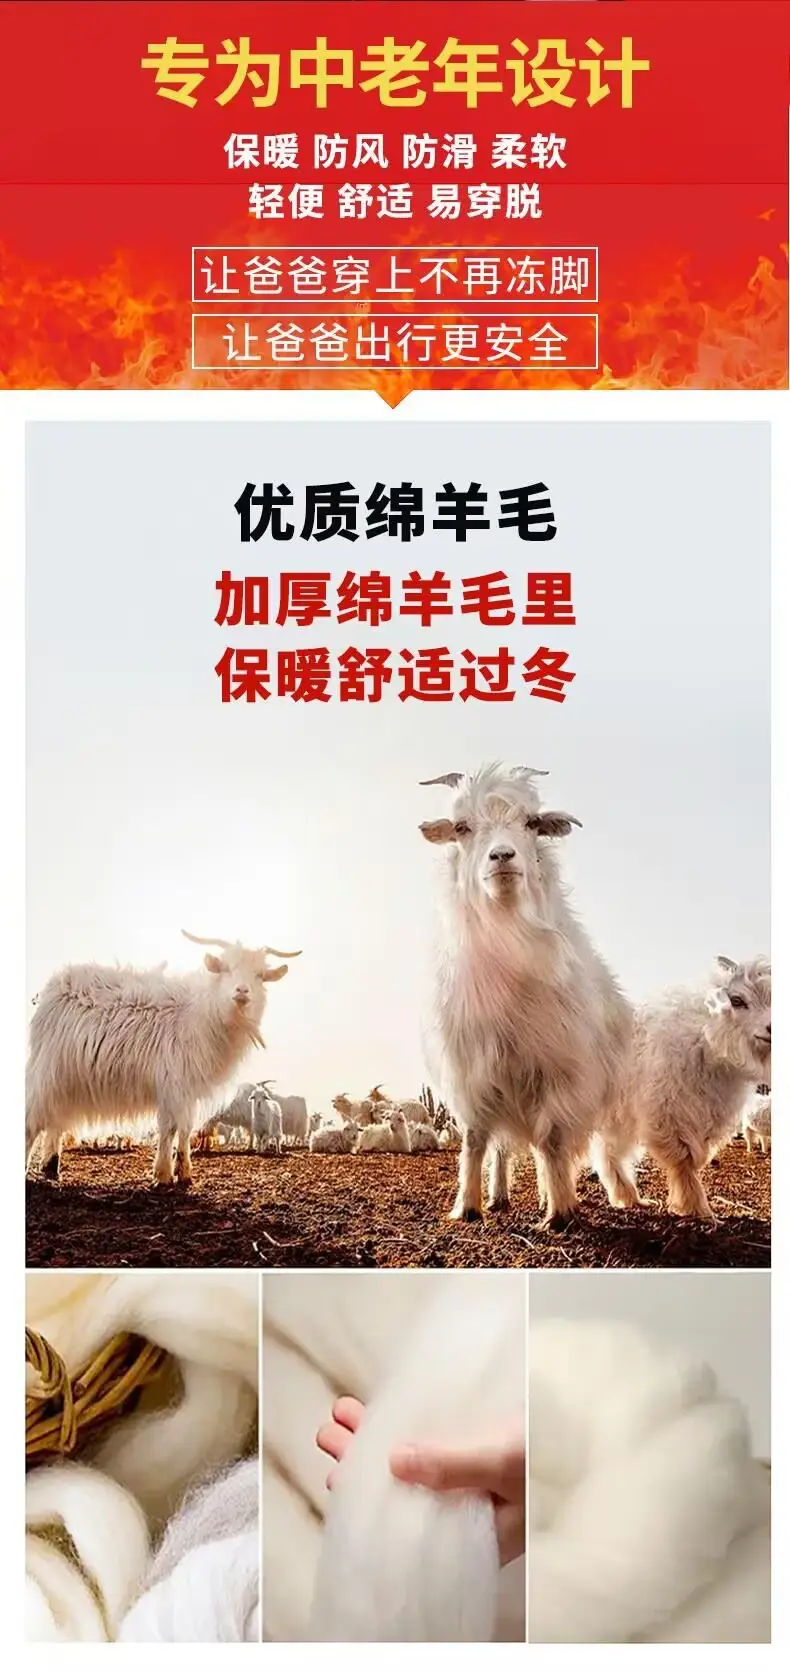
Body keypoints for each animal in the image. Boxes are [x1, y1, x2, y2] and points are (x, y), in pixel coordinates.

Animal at [25, 930, 301, 1186]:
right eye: (225, 968)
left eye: (259, 974)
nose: (242, 991)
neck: (200, 1014)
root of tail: (55, 985)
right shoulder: (172, 1083)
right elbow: (169, 1127)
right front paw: (164, 1174)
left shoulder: (188, 1089)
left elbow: (185, 1128)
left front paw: (185, 1173)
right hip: (49, 1069)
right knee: (33, 1115)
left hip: (67, 1079)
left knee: (55, 1118)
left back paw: (51, 1167)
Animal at [419, 764, 632, 1228]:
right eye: (462, 827)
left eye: (532, 824)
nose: (502, 856)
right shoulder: (474, 1074)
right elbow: (475, 1139)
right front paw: (467, 1207)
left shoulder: (561, 1074)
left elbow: (552, 1141)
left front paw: (560, 1212)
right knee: (503, 1148)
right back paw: (499, 1196)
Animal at [600, 956, 771, 1220]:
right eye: (737, 1000)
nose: (772, 1028)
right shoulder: (669, 1112)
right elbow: (684, 1159)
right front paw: (695, 1206)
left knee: (609, 1151)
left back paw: (628, 1197)